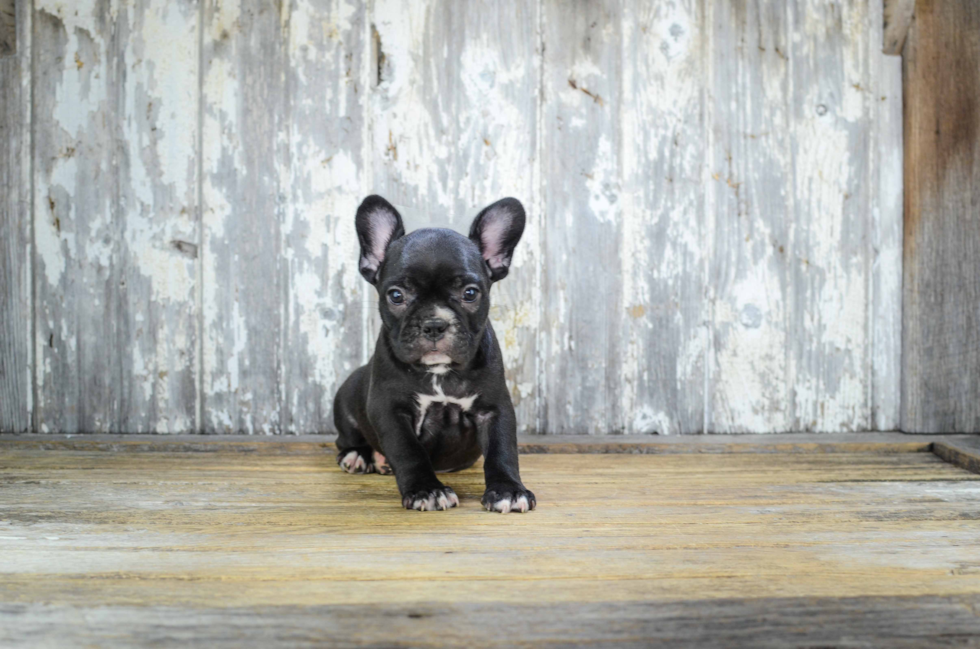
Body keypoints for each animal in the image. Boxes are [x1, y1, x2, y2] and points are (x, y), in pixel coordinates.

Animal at [334, 195, 536, 512]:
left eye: (470, 293)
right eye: (396, 295)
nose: (434, 323)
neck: (440, 373)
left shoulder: (495, 408)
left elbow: (502, 451)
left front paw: (508, 490)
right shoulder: (390, 410)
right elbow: (408, 452)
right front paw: (426, 490)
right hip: (345, 400)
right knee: (345, 440)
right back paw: (360, 455)